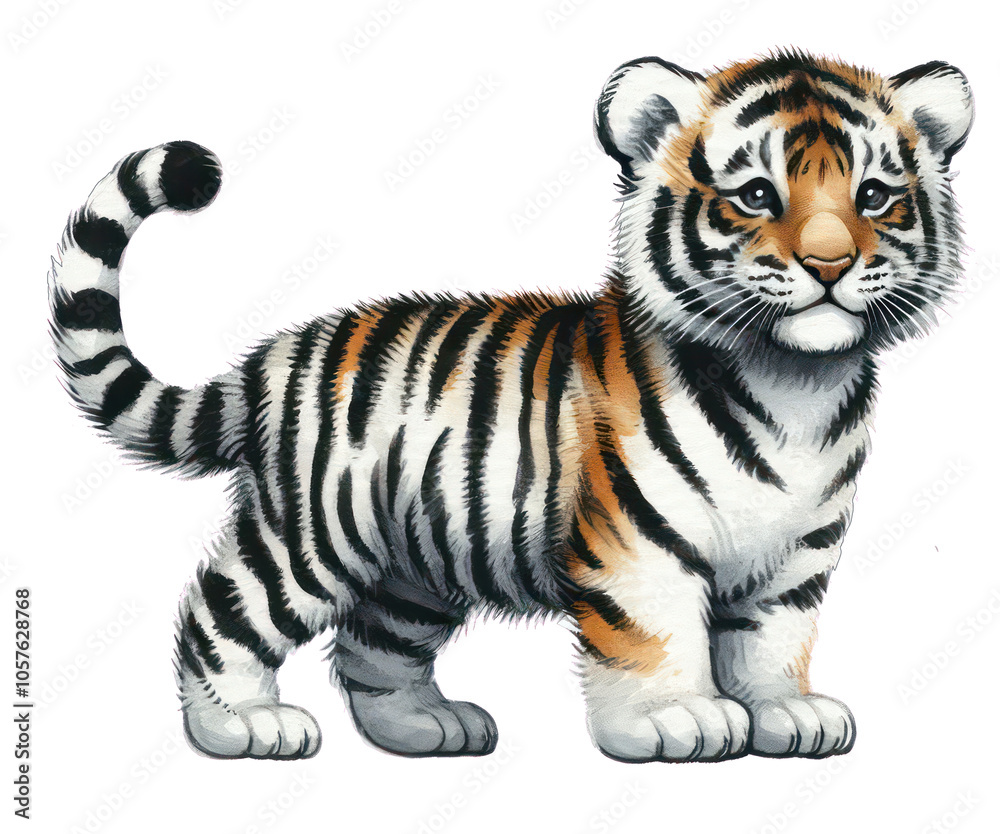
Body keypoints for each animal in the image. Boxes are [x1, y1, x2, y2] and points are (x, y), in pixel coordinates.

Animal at [48, 49, 973, 763]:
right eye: (754, 196)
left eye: (876, 196)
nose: (830, 263)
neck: (795, 385)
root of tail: (275, 356)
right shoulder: (639, 540)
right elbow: (656, 634)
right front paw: (676, 718)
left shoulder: (798, 550)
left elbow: (771, 639)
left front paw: (786, 712)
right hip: (314, 533)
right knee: (223, 608)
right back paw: (241, 726)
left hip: (415, 563)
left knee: (372, 648)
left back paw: (425, 727)